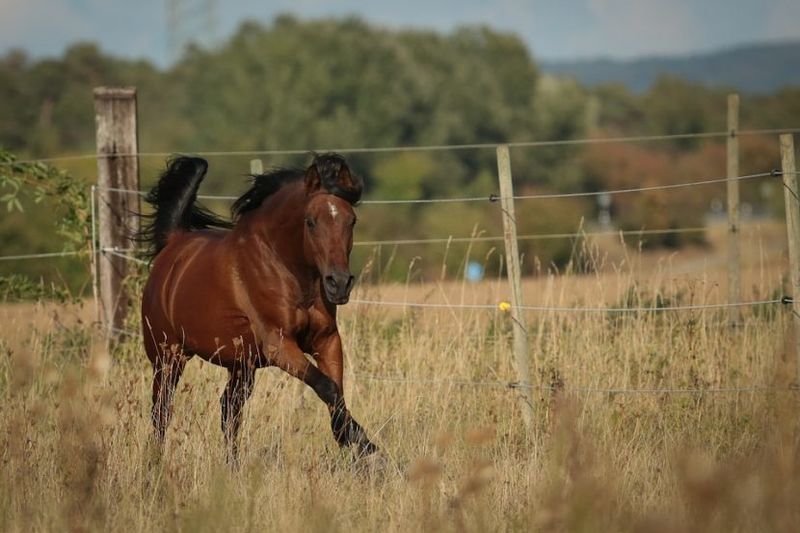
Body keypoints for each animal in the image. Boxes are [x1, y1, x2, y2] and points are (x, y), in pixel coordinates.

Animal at [138, 152, 377, 462]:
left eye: (352, 220)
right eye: (311, 221)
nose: (339, 283)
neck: (284, 268)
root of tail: (174, 243)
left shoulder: (326, 340)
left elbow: (337, 393)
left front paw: (358, 444)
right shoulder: (280, 346)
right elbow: (327, 387)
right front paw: (362, 442)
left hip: (241, 365)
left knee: (229, 411)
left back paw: (232, 466)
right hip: (168, 356)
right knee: (162, 411)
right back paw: (155, 465)